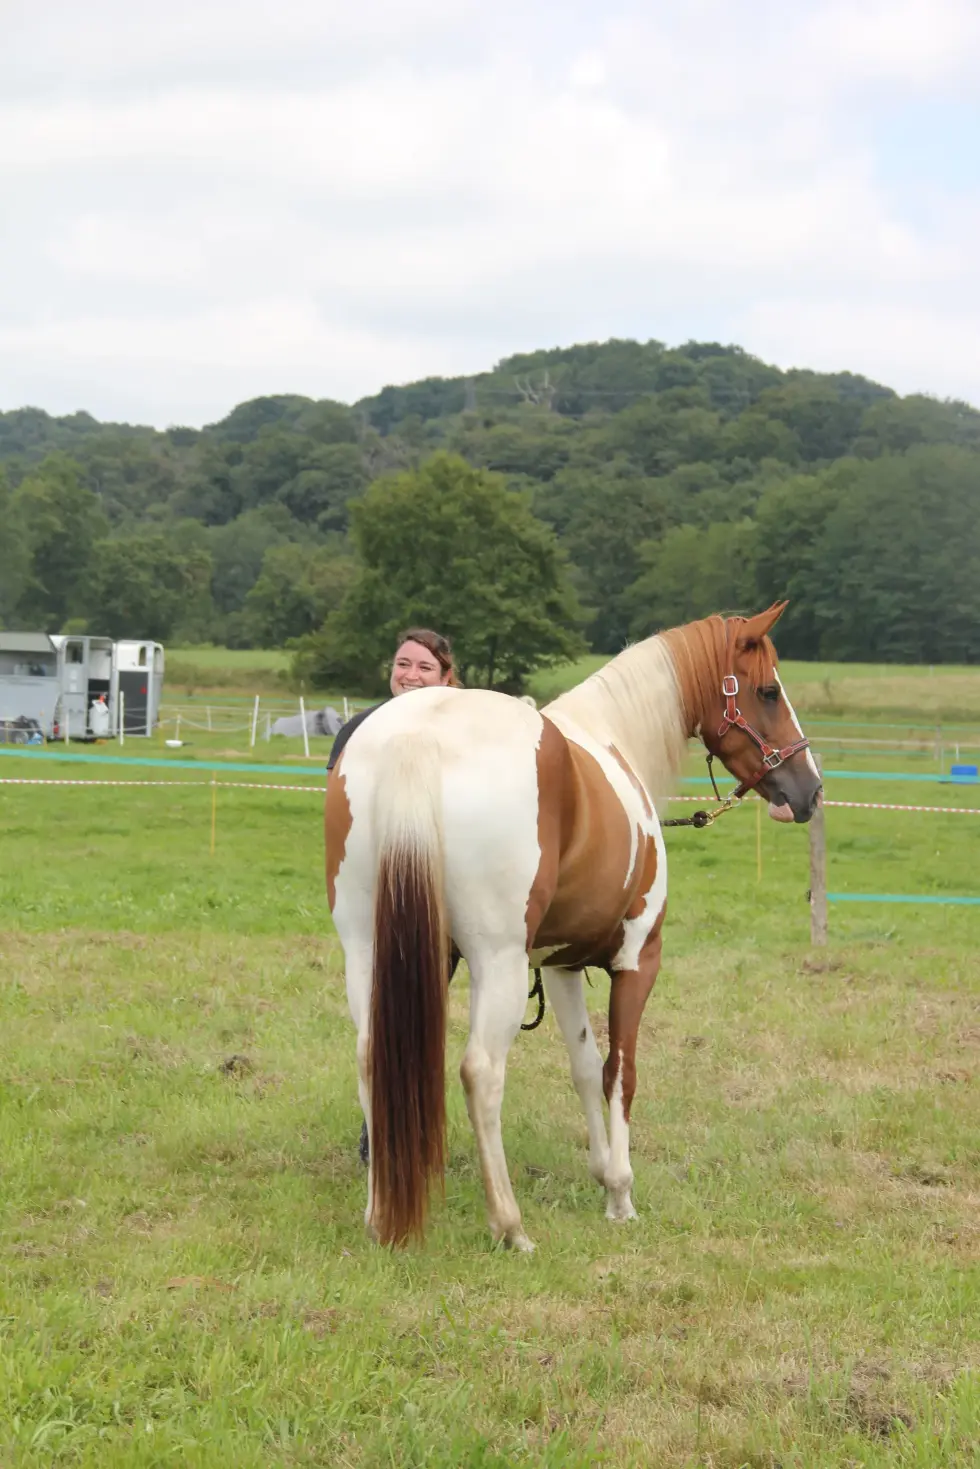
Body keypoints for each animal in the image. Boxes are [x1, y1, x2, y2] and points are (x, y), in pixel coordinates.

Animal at [326, 596, 822, 1251]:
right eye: (767, 690)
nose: (809, 789)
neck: (613, 737)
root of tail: (419, 734)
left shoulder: (559, 966)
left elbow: (585, 1067)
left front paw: (603, 1172)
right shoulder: (637, 959)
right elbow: (620, 1073)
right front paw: (621, 1192)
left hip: (369, 949)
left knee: (369, 1056)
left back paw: (380, 1212)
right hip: (498, 966)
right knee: (481, 1072)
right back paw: (510, 1226)